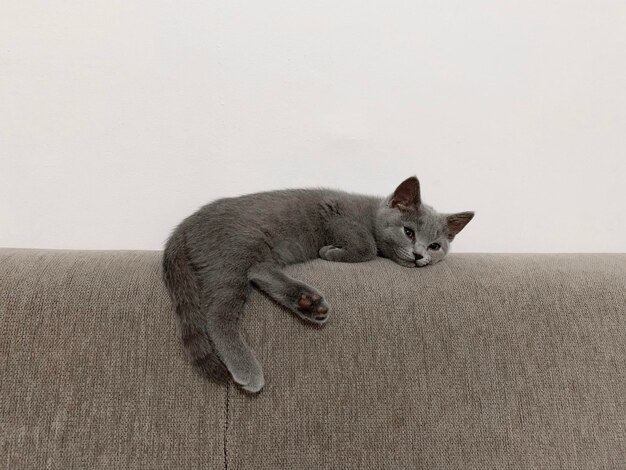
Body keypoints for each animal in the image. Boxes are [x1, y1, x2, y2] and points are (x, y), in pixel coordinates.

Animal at [162, 176, 472, 392]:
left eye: (435, 246)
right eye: (408, 232)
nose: (420, 255)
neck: (370, 213)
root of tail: (183, 226)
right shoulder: (336, 212)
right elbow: (367, 246)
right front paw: (332, 252)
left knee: (259, 271)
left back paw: (308, 303)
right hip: (234, 253)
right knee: (218, 315)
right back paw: (247, 369)